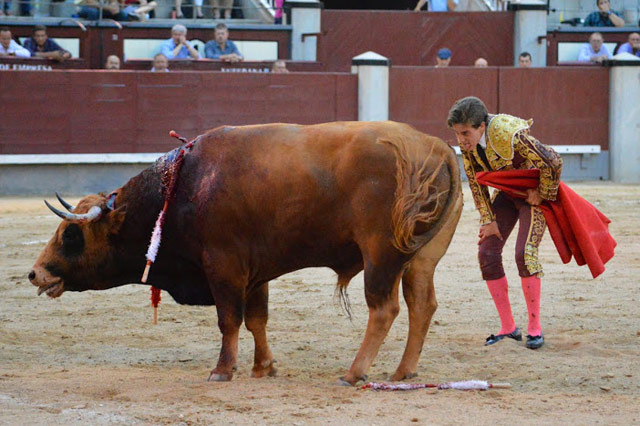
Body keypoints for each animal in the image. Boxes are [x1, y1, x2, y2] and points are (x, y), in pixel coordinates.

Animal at [30, 120, 462, 386]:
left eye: (71, 234)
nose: (35, 273)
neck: (182, 187)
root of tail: (434, 147)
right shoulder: (255, 273)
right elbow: (257, 319)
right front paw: (263, 367)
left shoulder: (223, 267)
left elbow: (229, 320)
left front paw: (223, 370)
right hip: (419, 259)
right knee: (422, 305)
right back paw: (403, 372)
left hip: (380, 254)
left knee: (384, 309)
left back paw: (354, 373)